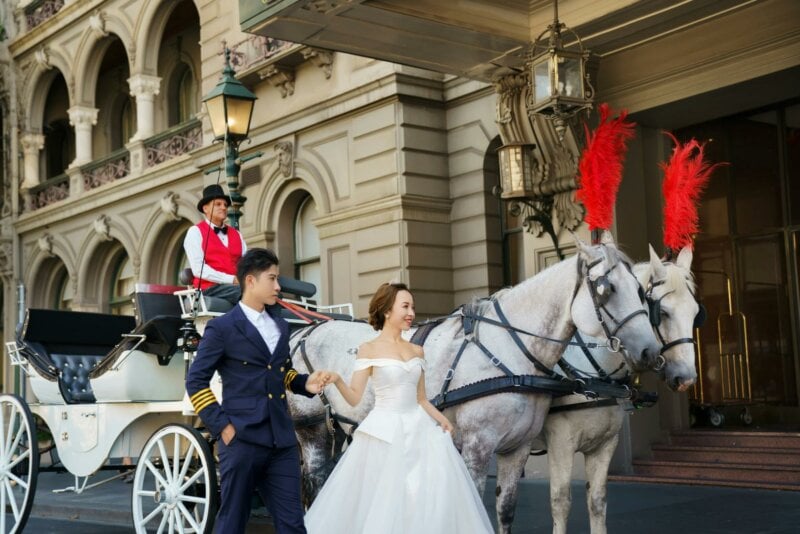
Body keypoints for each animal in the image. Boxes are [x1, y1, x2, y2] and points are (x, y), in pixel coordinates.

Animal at [290, 236, 660, 534]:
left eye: (641, 292)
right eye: (607, 290)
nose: (650, 351)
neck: (511, 353)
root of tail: (304, 331)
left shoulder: (517, 448)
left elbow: (505, 510)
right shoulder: (478, 446)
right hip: (311, 428)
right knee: (313, 483)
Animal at [540, 247, 696, 534]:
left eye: (696, 313)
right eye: (663, 312)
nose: (687, 378)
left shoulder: (604, 444)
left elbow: (597, 501)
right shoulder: (560, 444)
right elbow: (560, 502)